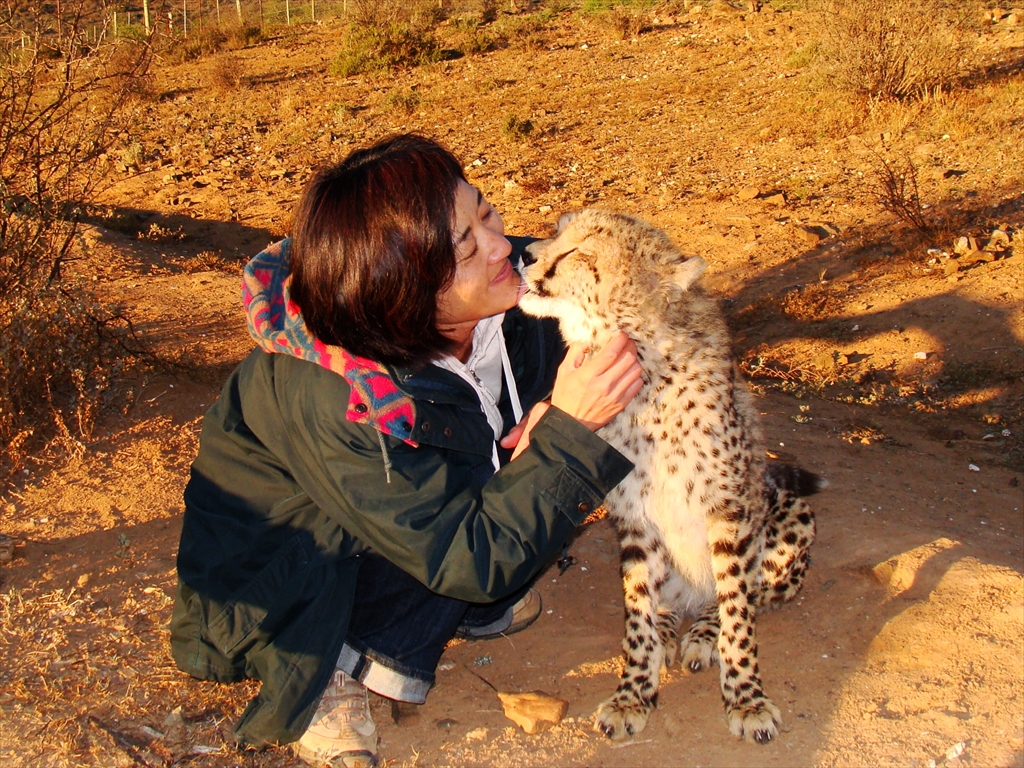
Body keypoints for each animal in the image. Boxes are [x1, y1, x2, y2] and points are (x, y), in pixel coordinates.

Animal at [520, 208, 823, 745]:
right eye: (558, 230)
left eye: (581, 251)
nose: (525, 254)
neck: (645, 368)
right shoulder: (635, 519)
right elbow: (636, 613)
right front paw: (633, 694)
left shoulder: (729, 512)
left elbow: (739, 610)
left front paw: (746, 698)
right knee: (663, 603)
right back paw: (667, 630)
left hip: (790, 516)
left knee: (738, 596)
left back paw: (703, 634)